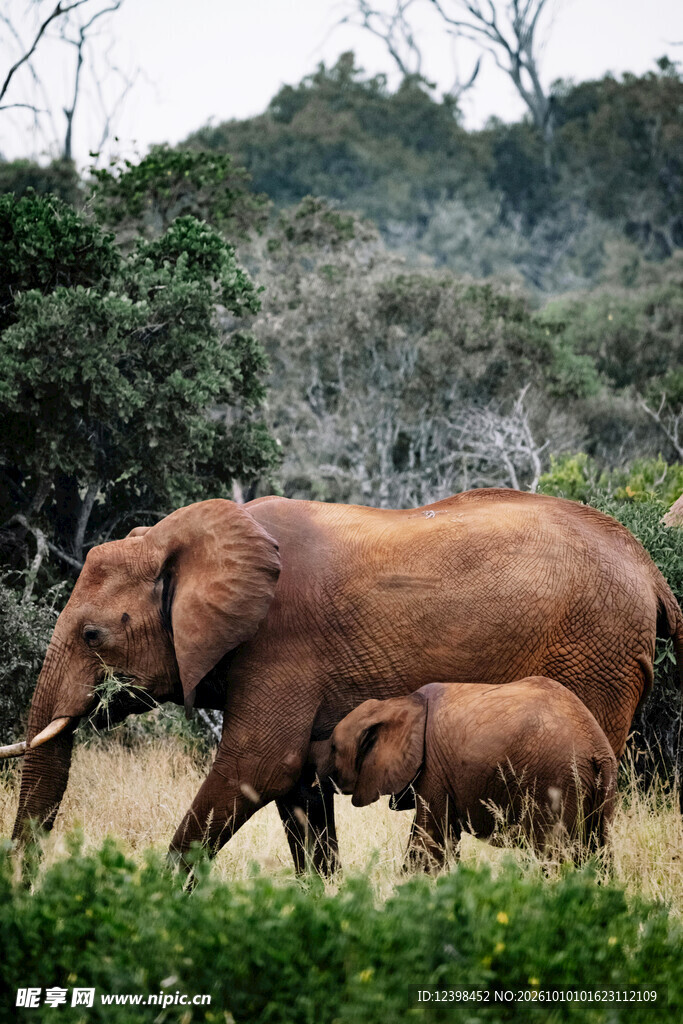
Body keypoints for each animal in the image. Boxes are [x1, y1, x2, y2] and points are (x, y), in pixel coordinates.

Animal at [328, 677, 619, 866]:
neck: (399, 703)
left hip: (554, 782)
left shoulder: (433, 769)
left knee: (548, 854)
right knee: (598, 851)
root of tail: (597, 747)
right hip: (597, 788)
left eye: (332, 748)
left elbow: (431, 840)